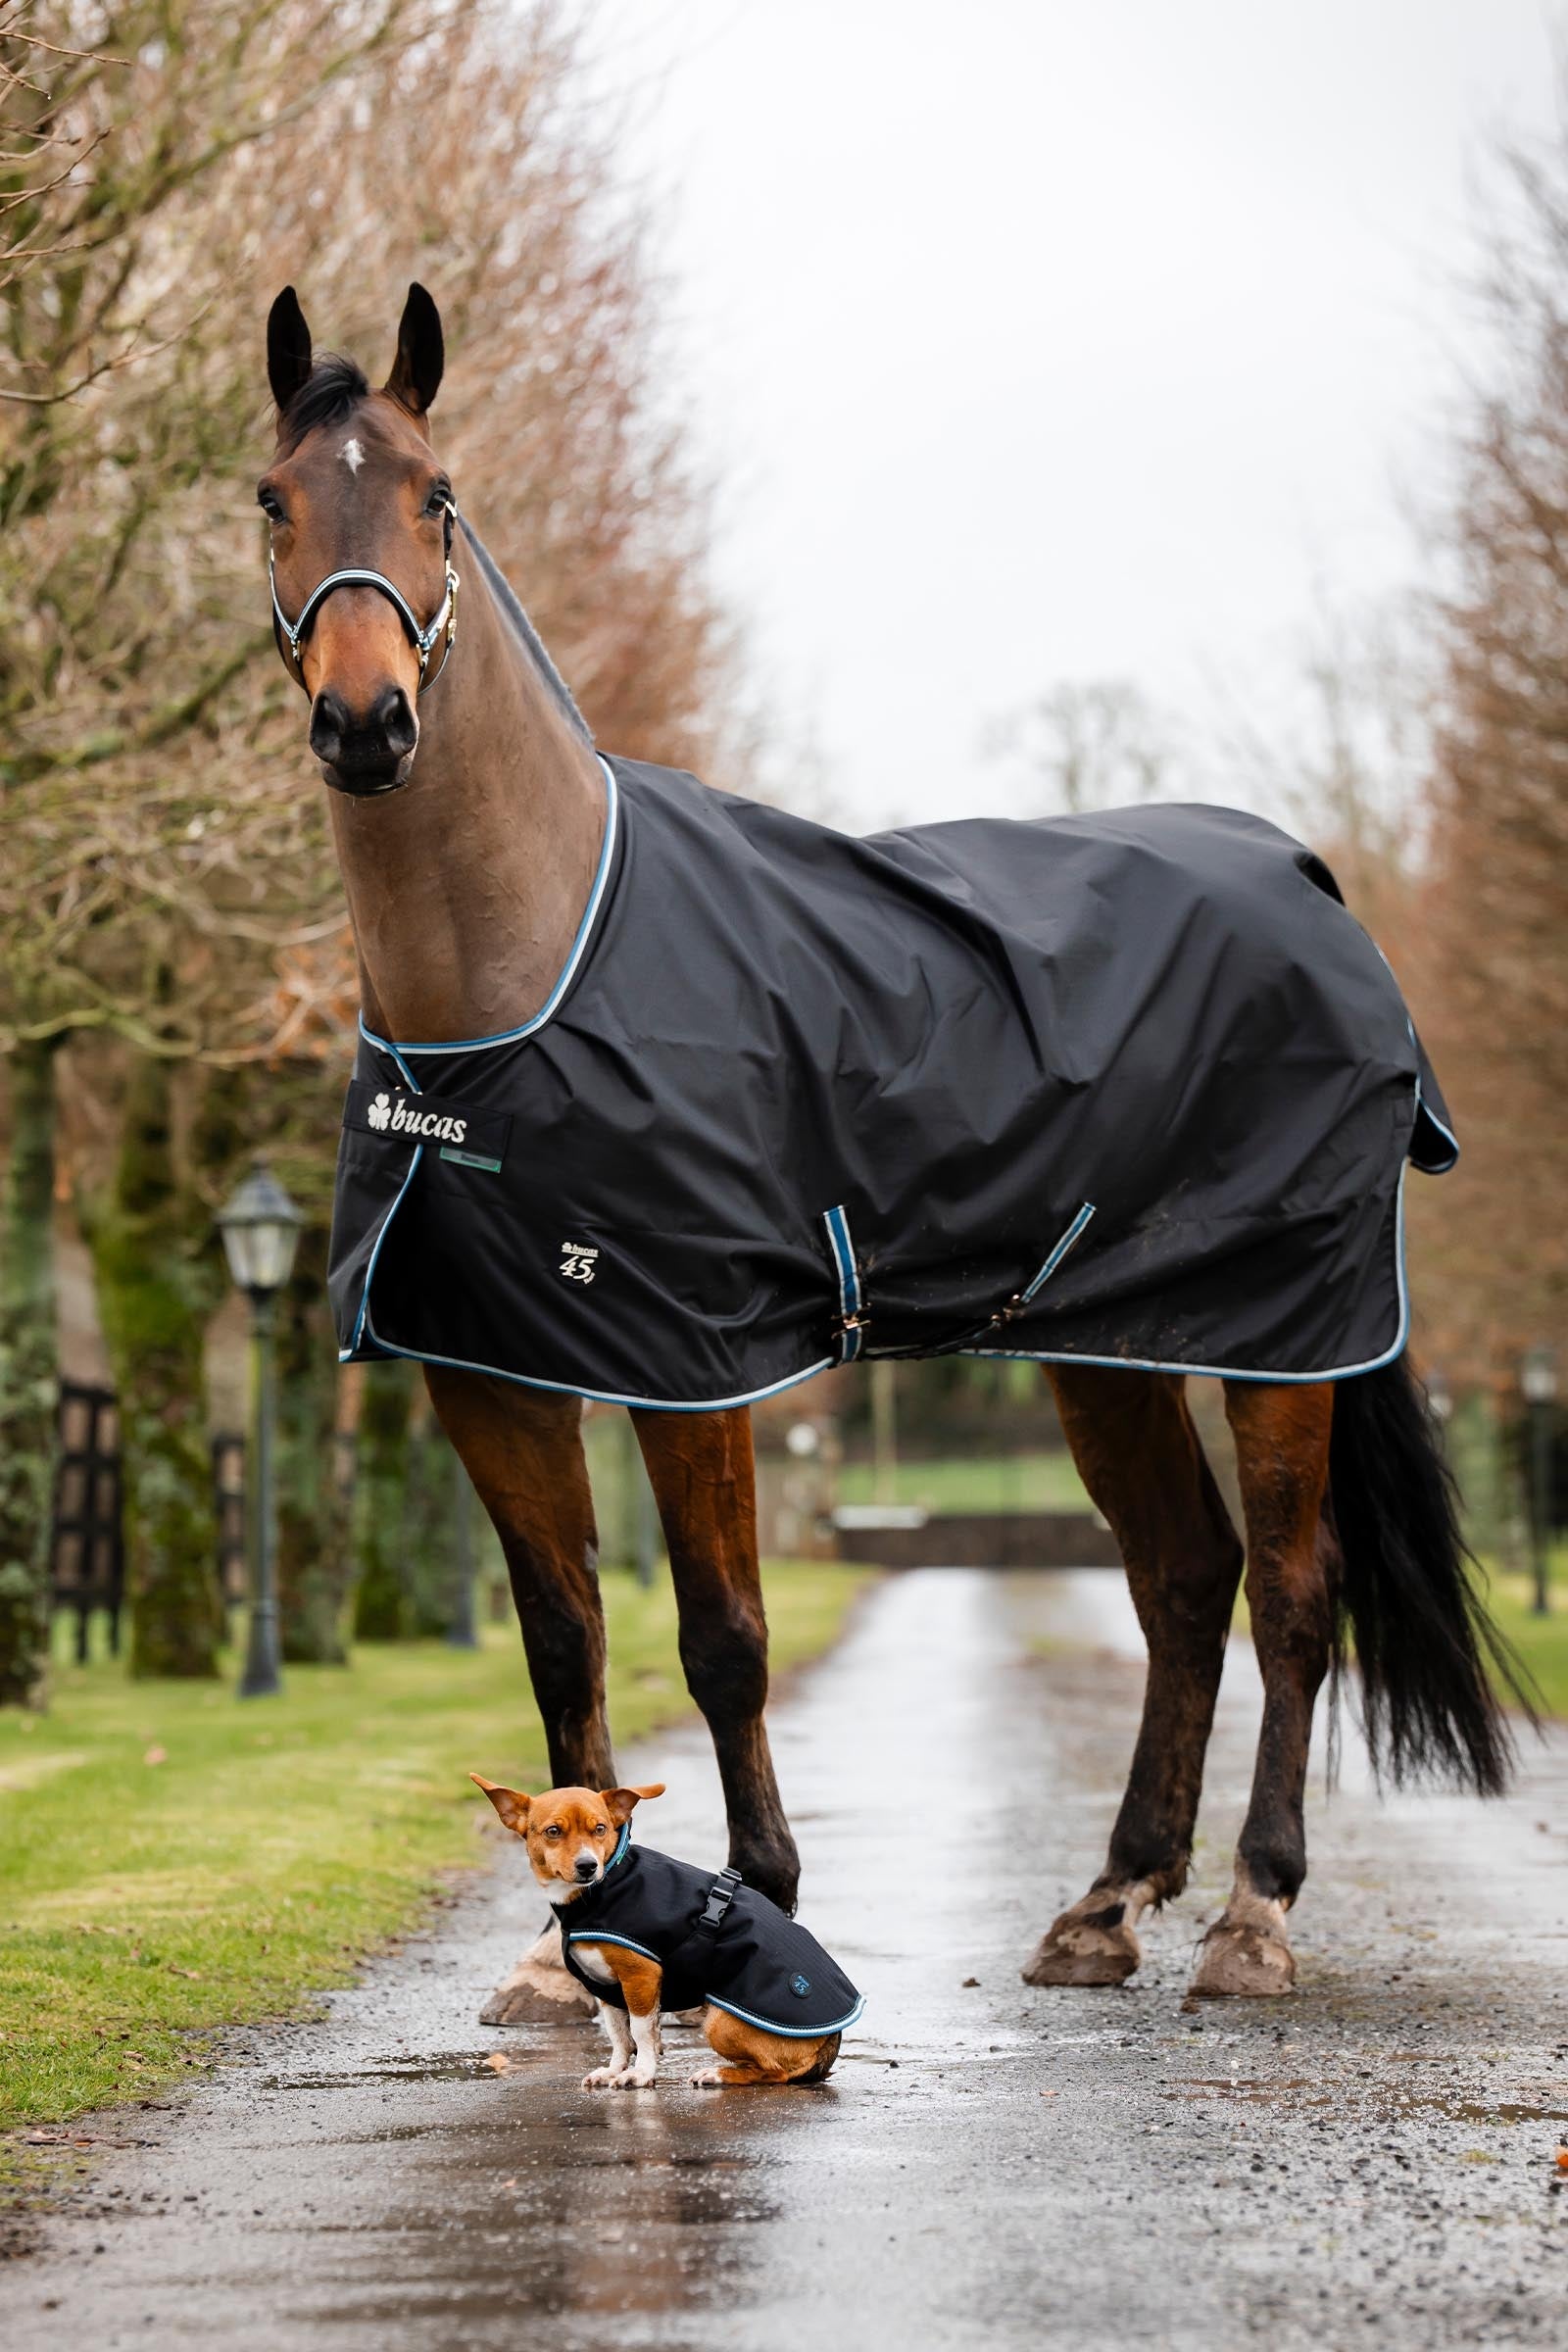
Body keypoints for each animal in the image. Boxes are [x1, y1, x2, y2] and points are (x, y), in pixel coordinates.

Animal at [260, 282, 1526, 2016]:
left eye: (436, 495)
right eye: (273, 500)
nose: (365, 721)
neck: (530, 976)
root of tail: (1309, 879)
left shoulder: (692, 1360)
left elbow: (722, 1637)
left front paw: (761, 1901)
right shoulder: (490, 1372)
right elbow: (564, 1640)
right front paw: (559, 1954)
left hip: (1287, 1336)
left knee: (1290, 1592)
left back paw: (1254, 1914)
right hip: (1111, 1344)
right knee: (1181, 1580)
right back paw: (1107, 1903)